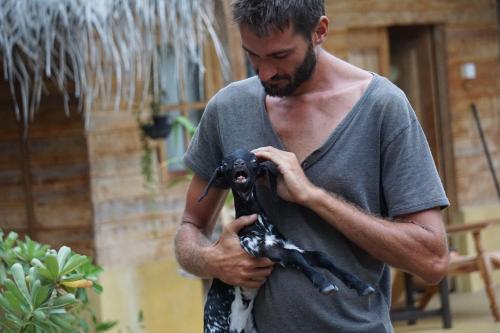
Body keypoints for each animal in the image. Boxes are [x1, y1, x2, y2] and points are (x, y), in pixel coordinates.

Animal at [199, 148, 376, 332]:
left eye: (253, 159)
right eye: (225, 163)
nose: (238, 163)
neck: (259, 220)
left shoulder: (286, 245)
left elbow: (321, 256)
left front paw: (359, 285)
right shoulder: (258, 247)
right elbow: (295, 256)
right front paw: (322, 282)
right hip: (215, 328)